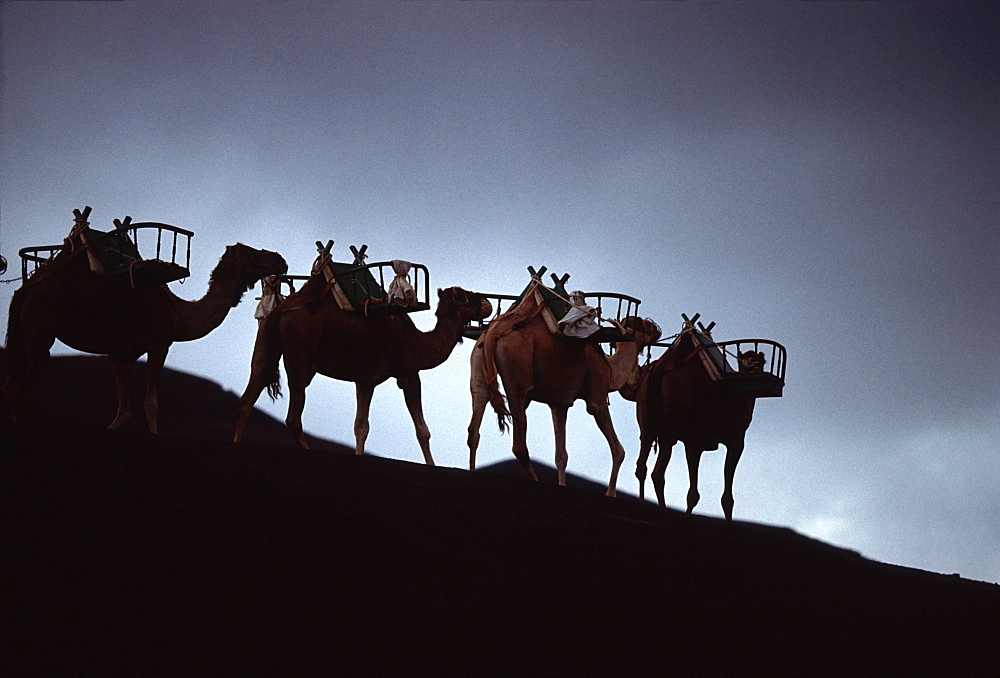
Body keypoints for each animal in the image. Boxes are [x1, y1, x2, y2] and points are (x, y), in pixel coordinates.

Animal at [1, 236, 290, 432]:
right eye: (252, 253)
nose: (280, 259)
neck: (178, 313)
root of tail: (25, 290)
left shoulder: (122, 354)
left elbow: (123, 411)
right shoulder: (159, 343)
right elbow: (150, 405)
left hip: (32, 337)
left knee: (18, 384)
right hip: (38, 329)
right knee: (19, 388)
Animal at [230, 274, 488, 464]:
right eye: (464, 296)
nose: (484, 302)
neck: (419, 342)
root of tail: (280, 310)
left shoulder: (365, 380)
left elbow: (361, 426)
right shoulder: (408, 373)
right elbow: (422, 430)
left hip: (264, 346)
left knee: (249, 394)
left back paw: (237, 443)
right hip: (300, 358)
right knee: (293, 416)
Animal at [472, 286, 660, 500]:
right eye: (644, 324)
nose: (657, 329)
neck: (610, 367)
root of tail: (492, 333)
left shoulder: (559, 403)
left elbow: (561, 455)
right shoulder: (597, 397)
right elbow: (618, 450)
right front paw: (611, 493)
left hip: (479, 363)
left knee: (475, 423)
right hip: (517, 376)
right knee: (519, 444)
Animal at [632, 322, 764, 524]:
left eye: (760, 361)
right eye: (749, 361)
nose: (756, 369)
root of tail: (660, 368)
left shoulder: (694, 443)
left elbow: (692, 493)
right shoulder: (735, 440)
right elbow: (727, 498)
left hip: (646, 422)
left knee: (642, 465)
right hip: (670, 425)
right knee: (658, 472)